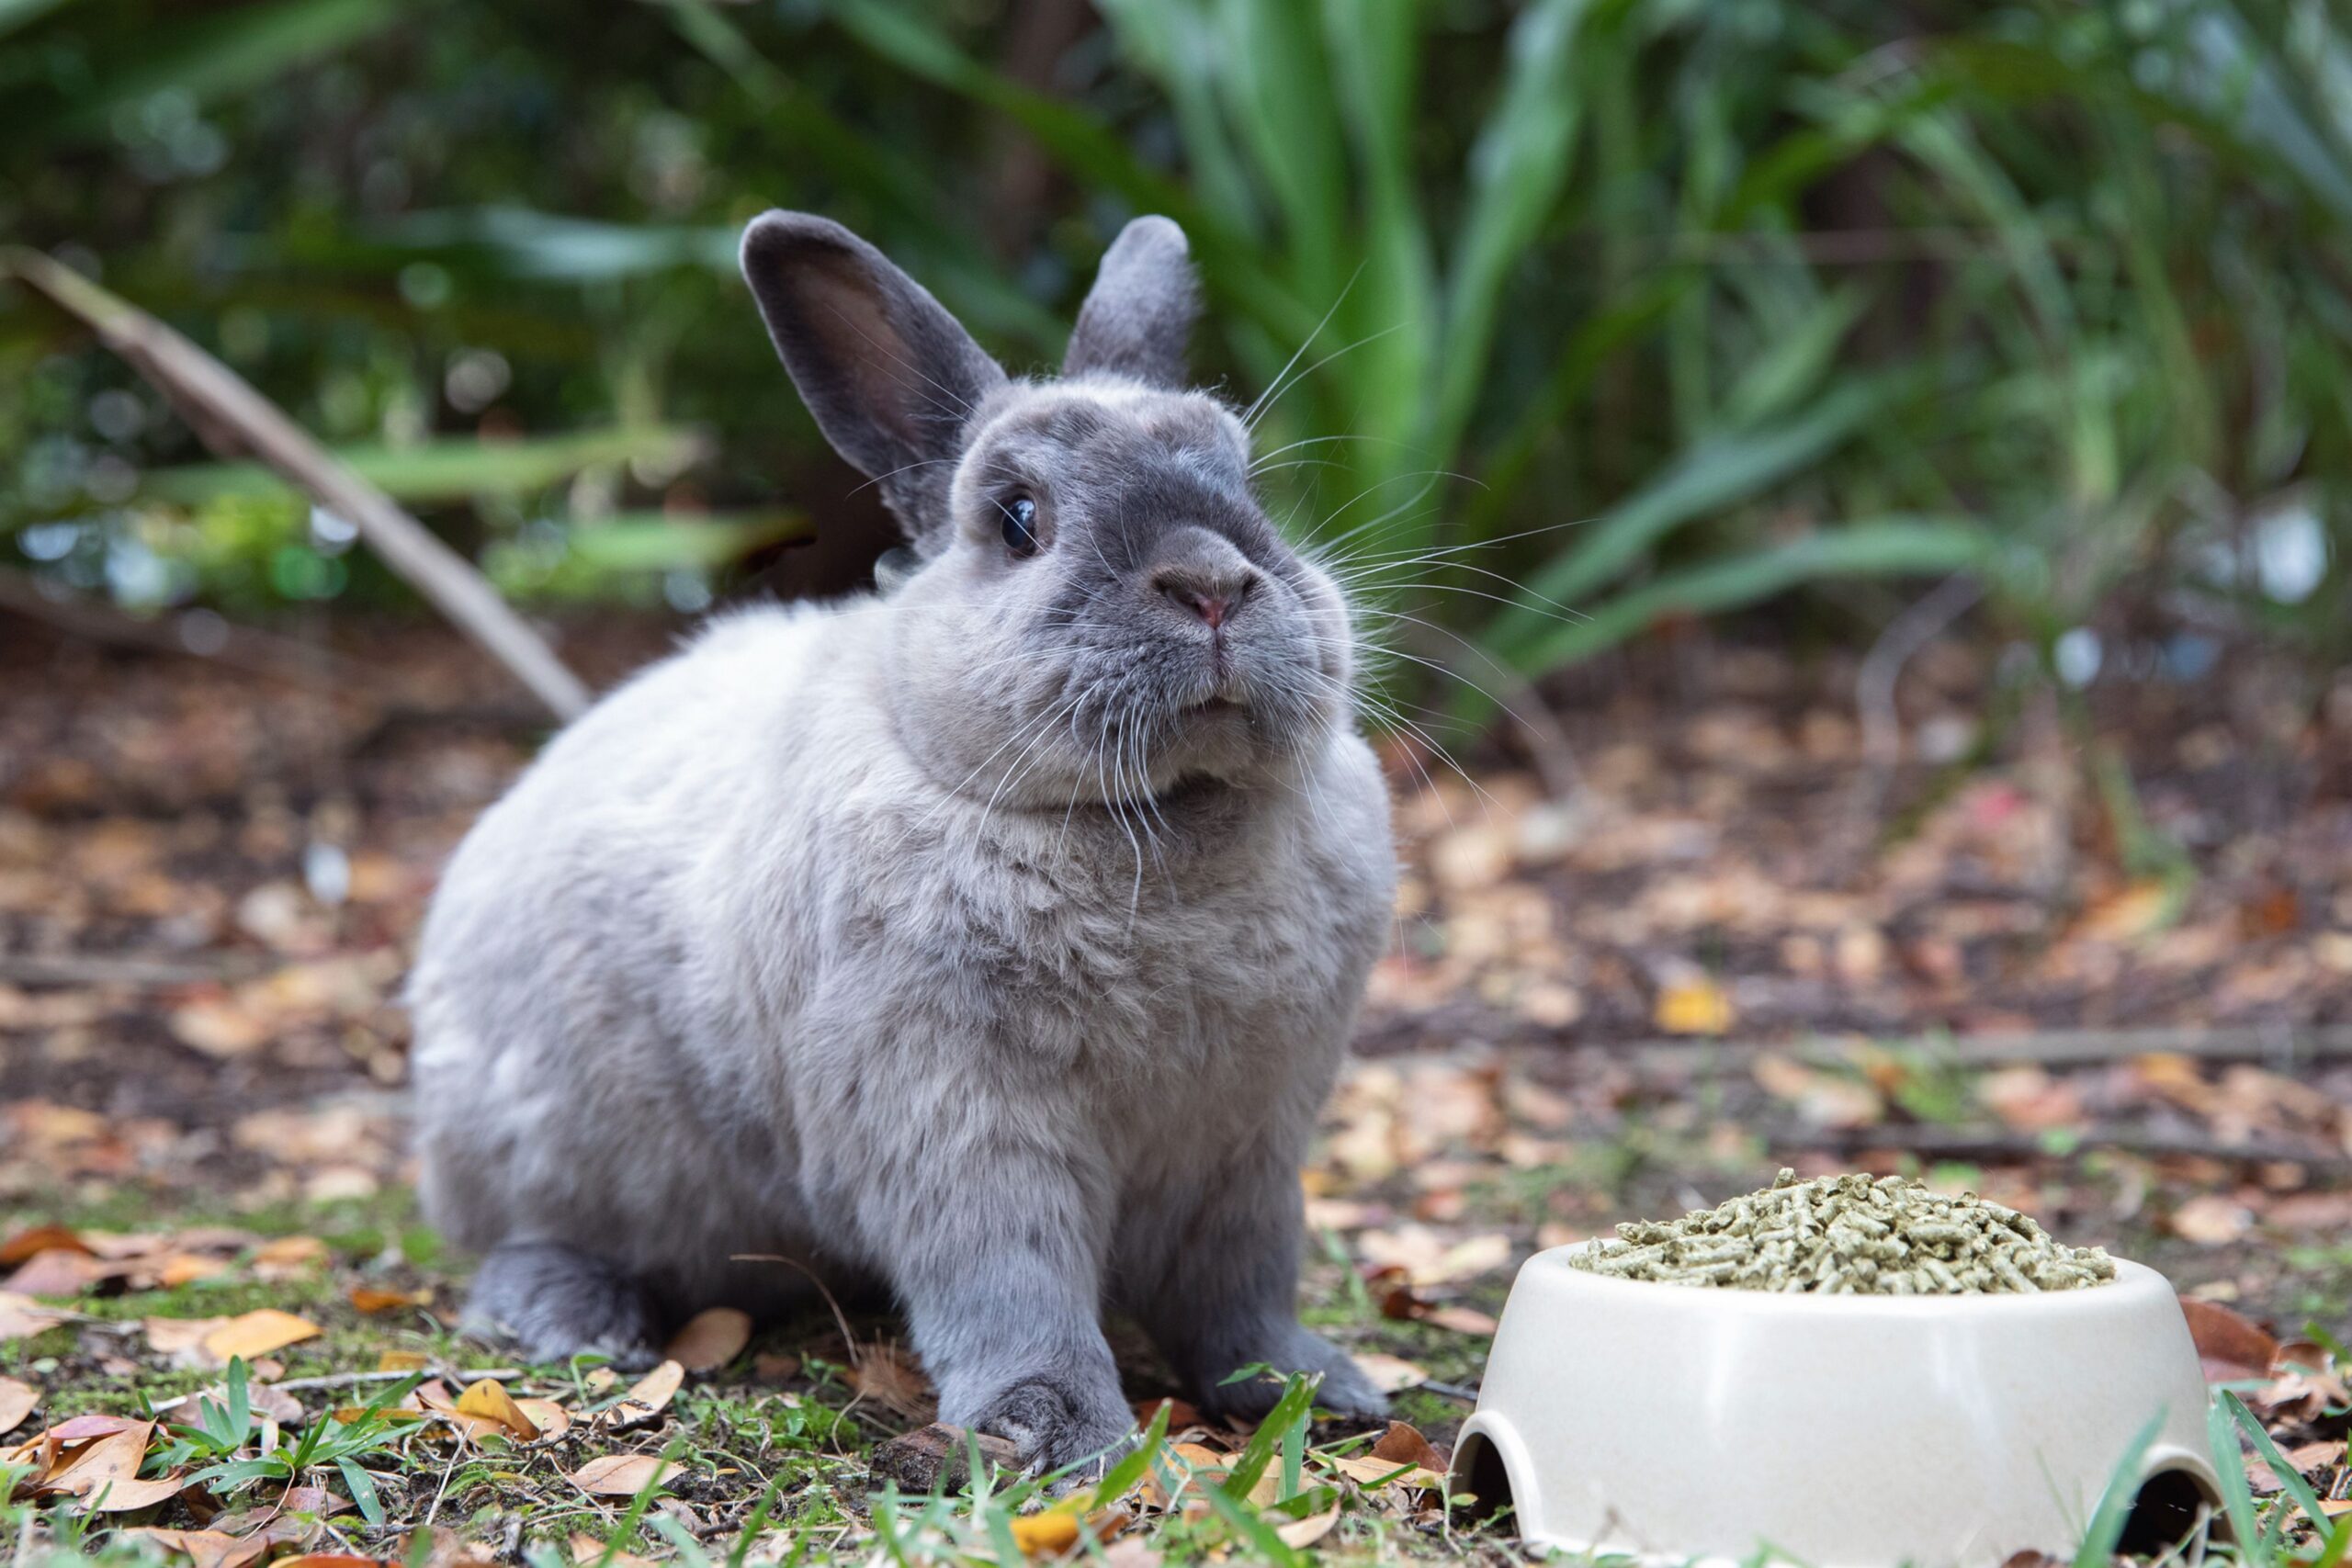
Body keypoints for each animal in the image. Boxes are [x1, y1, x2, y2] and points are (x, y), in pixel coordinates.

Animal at [404, 215, 1392, 1476]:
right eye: (1018, 518)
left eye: (1246, 479)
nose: (1214, 583)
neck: (1156, 826)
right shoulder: (957, 1123)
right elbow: (1010, 1283)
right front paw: (1057, 1431)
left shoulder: (1247, 1147)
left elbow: (1243, 1290)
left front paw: (1311, 1391)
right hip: (546, 1156)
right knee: (524, 1239)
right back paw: (577, 1319)